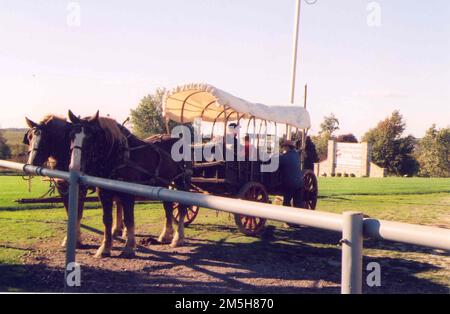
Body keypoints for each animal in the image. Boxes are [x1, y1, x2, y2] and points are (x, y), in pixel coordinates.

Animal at [68, 110, 190, 258]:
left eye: (91, 137)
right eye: (71, 135)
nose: (75, 167)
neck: (119, 156)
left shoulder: (128, 193)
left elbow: (128, 219)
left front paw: (129, 247)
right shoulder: (103, 192)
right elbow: (107, 219)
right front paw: (105, 248)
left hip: (181, 181)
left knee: (182, 207)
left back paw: (178, 238)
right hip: (164, 183)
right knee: (168, 207)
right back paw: (165, 235)